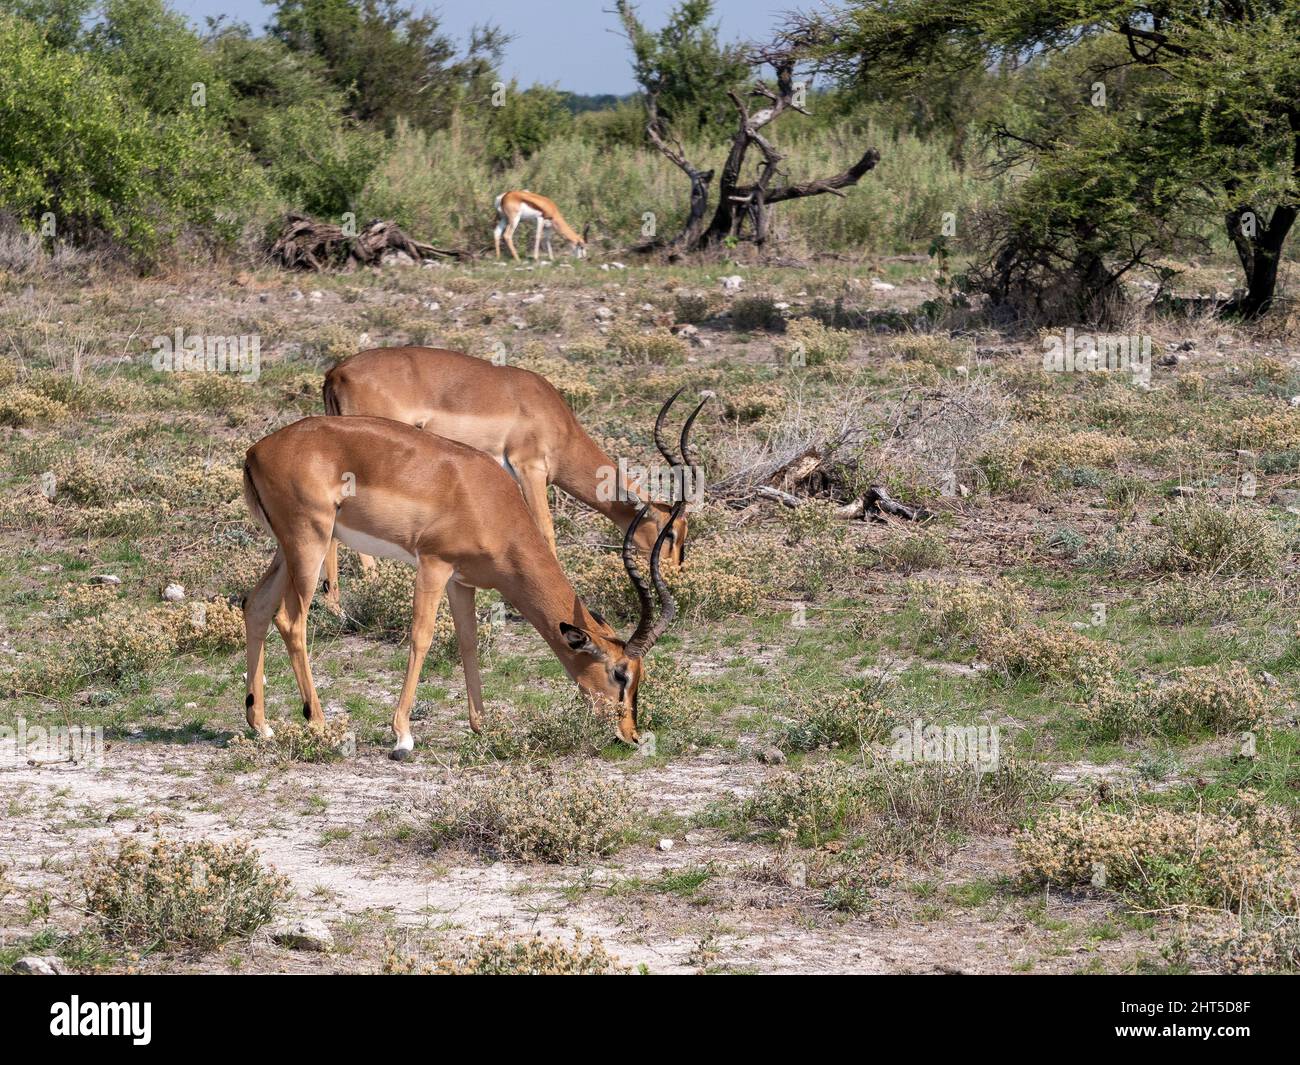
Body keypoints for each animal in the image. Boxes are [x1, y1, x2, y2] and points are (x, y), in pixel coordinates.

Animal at [241, 416, 684, 757]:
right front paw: (402, 736)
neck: (485, 500)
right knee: (290, 621)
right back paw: (319, 725)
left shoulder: (462, 582)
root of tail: (256, 451)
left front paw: (483, 726)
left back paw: (261, 726)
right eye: (620, 674)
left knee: (256, 606)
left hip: (287, 550)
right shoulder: (433, 565)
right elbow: (421, 637)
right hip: (309, 544)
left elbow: (467, 641)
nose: (631, 735)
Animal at [321, 346, 706, 609]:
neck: (552, 416)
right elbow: (545, 529)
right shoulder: (529, 468)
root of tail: (336, 372)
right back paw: (342, 601)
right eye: (670, 532)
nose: (675, 574)